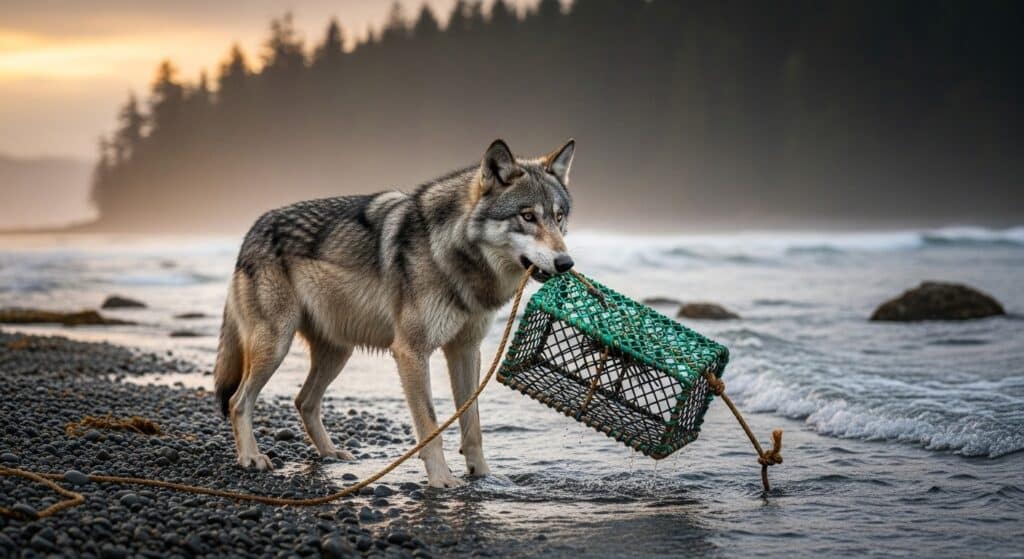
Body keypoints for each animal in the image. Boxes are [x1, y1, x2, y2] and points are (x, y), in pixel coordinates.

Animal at [213, 139, 576, 488]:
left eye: (558, 218)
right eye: (527, 216)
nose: (566, 263)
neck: (453, 254)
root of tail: (251, 231)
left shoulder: (465, 350)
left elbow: (472, 425)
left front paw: (484, 476)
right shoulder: (411, 352)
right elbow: (430, 425)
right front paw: (442, 481)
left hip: (337, 353)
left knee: (304, 401)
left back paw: (330, 454)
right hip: (276, 347)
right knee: (238, 402)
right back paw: (251, 458)